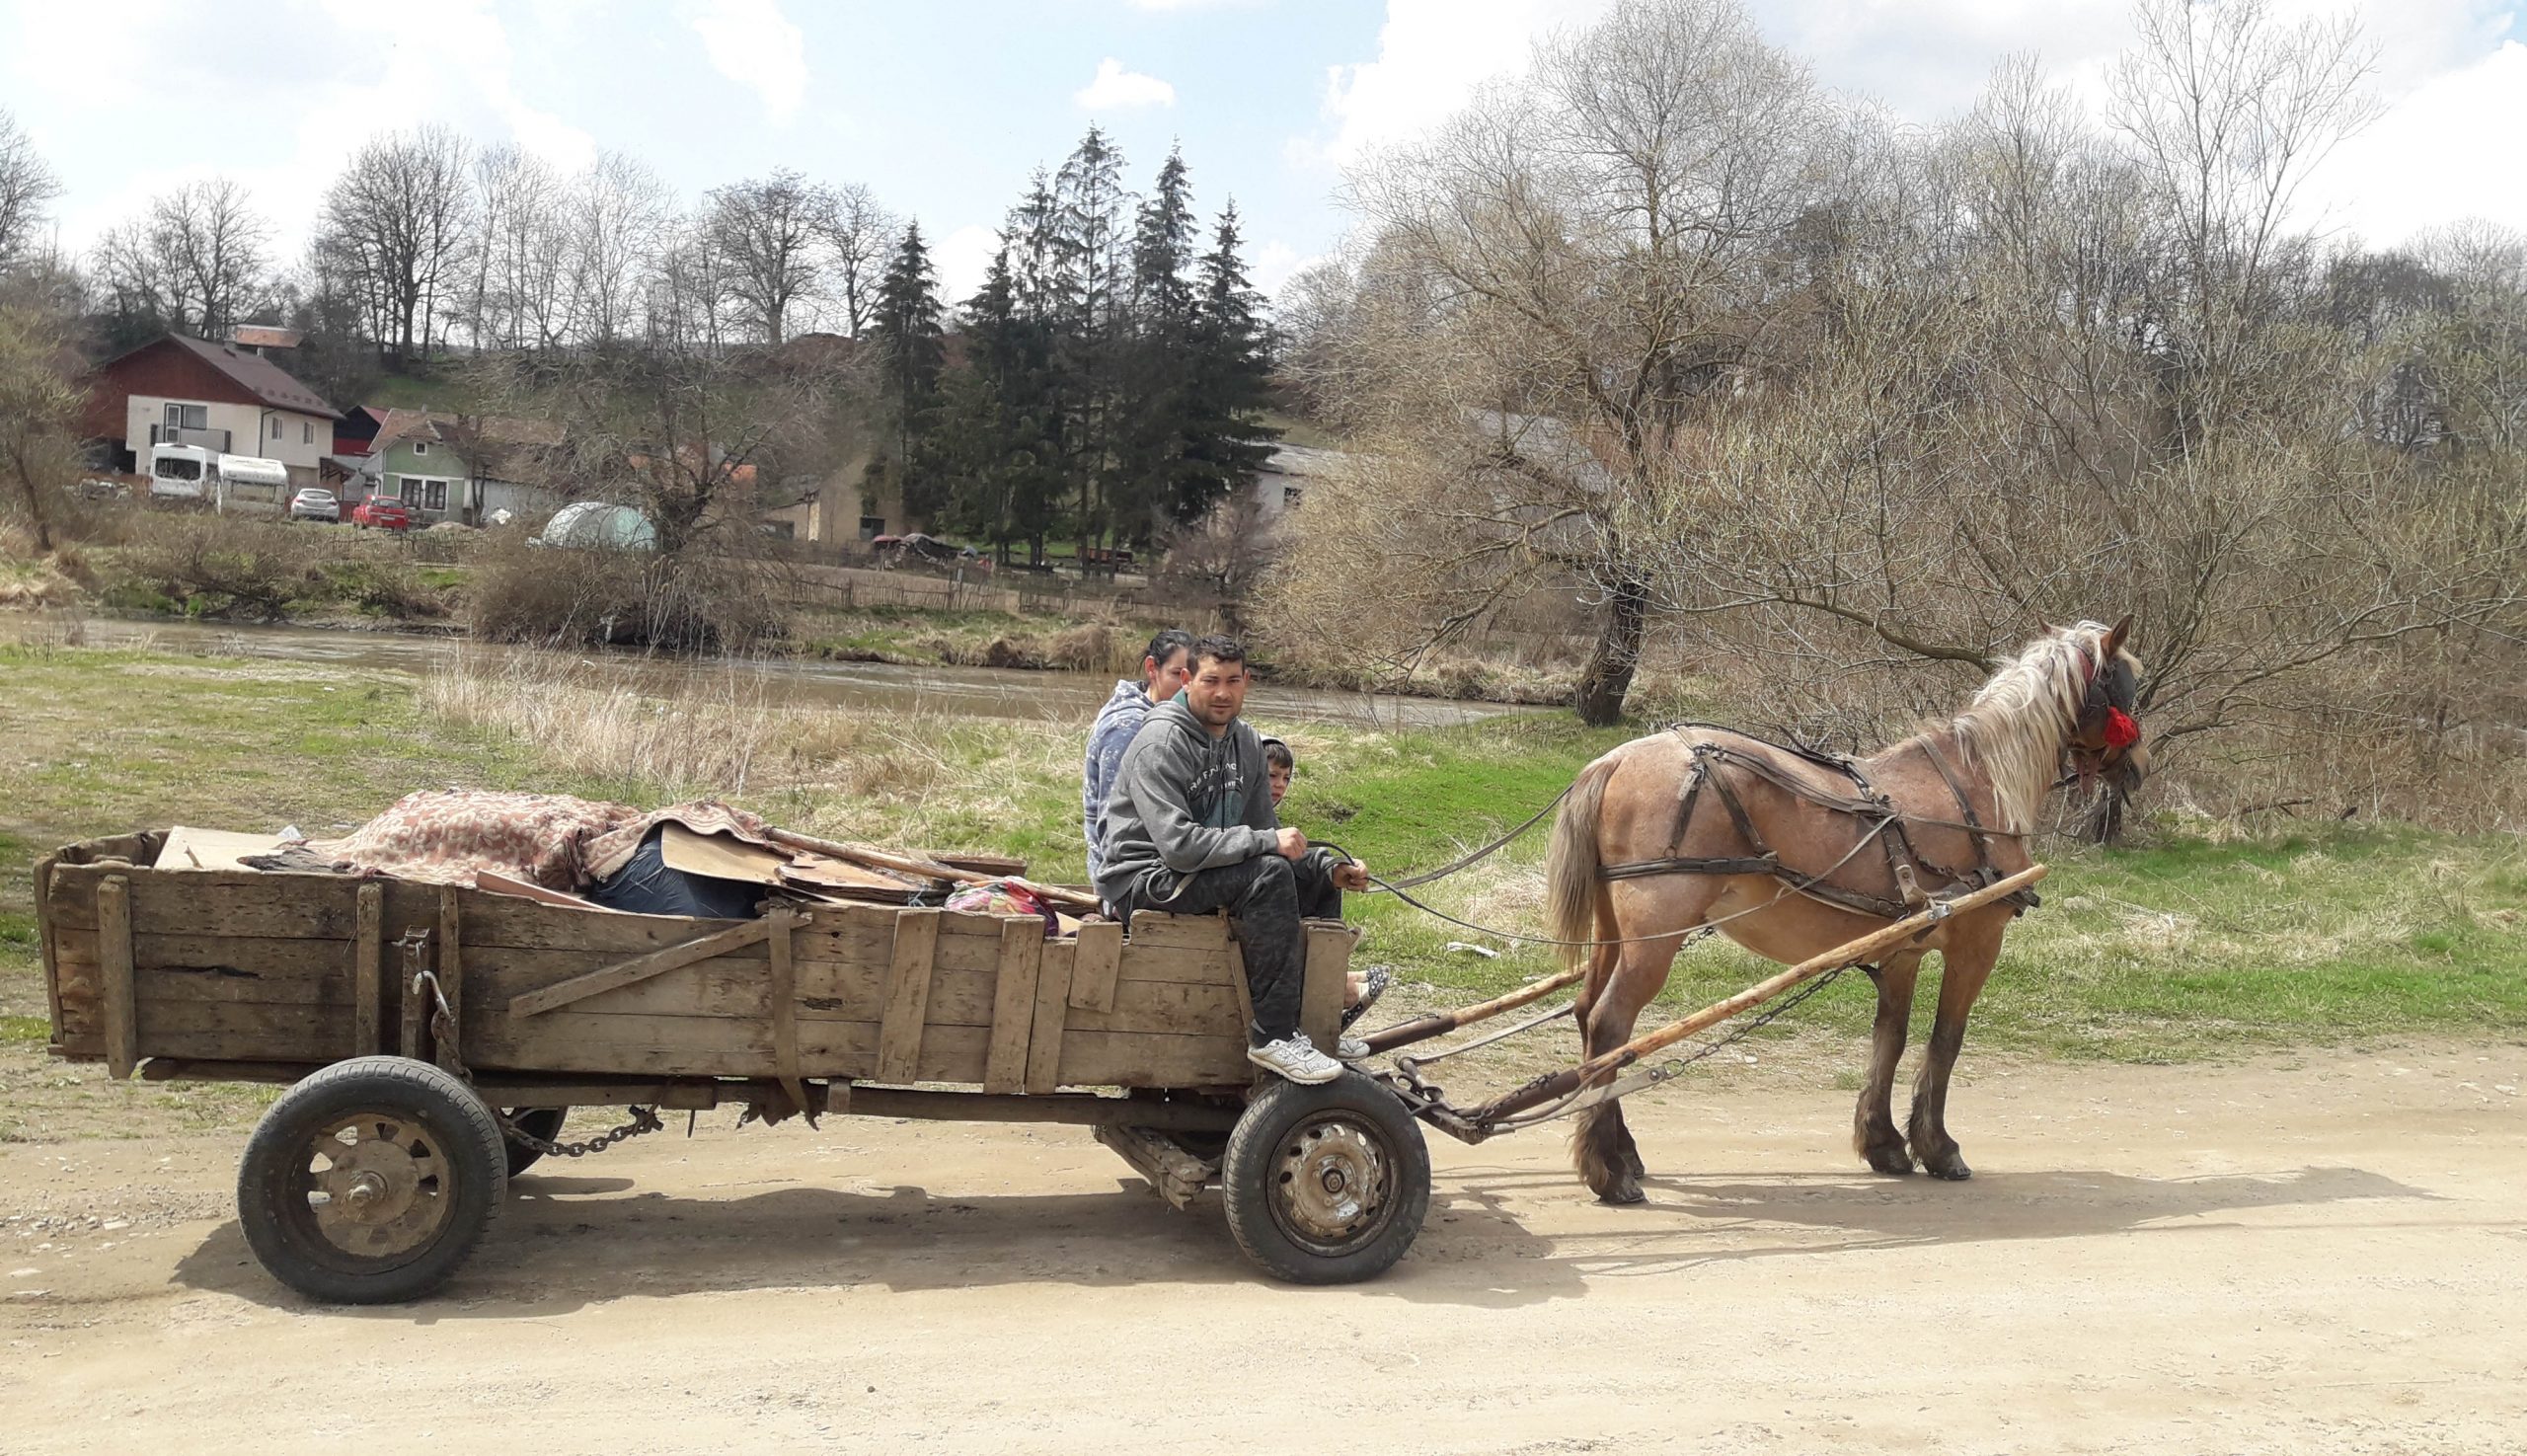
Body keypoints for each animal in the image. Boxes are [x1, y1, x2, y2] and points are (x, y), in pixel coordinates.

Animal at [1536, 619, 2132, 1197]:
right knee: (1611, 1027)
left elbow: (1890, 1038)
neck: (1978, 785)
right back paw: (1609, 1170)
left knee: (1588, 1016)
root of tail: (1616, 759)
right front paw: (1939, 1148)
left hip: (1613, 928)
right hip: (1653, 938)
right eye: (2127, 687)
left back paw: (1623, 1152)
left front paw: (1885, 1143)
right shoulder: (1977, 941)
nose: (2138, 766)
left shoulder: (1903, 951)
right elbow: (1945, 1042)